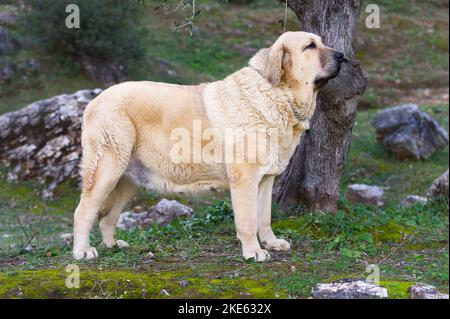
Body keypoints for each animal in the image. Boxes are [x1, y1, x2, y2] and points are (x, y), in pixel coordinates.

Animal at [74, 31, 342, 262]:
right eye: (310, 46)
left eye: (321, 42)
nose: (342, 55)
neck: (277, 95)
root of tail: (93, 101)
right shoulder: (245, 178)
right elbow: (248, 220)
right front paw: (253, 252)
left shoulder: (266, 179)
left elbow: (264, 217)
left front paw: (271, 243)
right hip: (107, 169)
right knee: (84, 210)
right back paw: (83, 251)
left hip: (128, 178)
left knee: (107, 217)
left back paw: (113, 245)